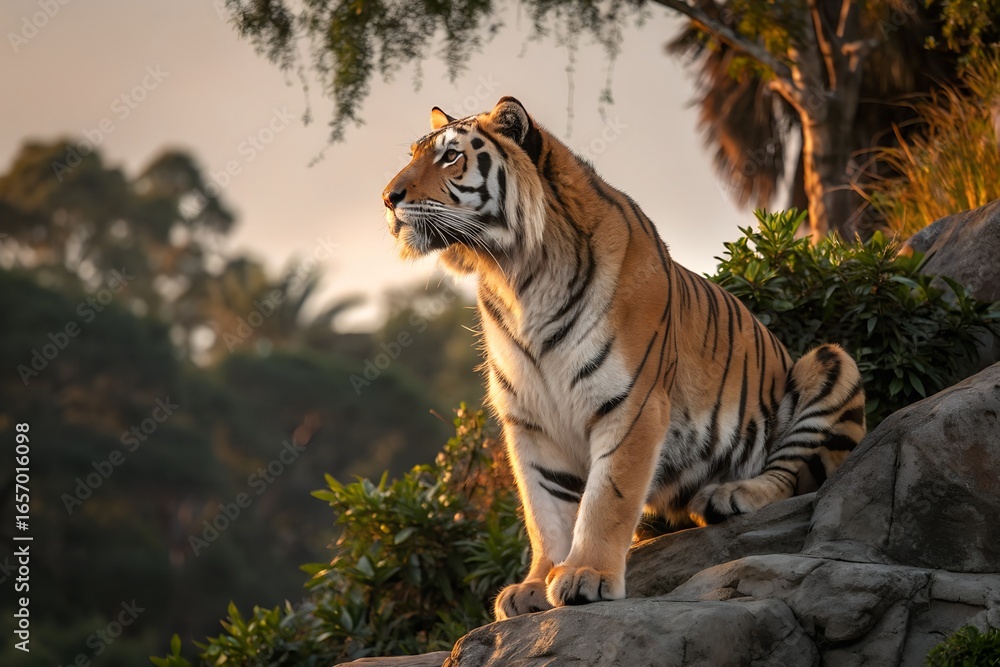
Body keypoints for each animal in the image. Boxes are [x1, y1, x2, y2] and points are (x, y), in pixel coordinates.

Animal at [382, 96, 866, 621]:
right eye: (415, 154)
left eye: (450, 156)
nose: (387, 198)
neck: (514, 273)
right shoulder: (529, 420)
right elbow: (544, 510)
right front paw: (533, 586)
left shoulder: (631, 403)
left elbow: (606, 497)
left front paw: (585, 576)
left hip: (830, 362)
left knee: (793, 475)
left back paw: (733, 494)